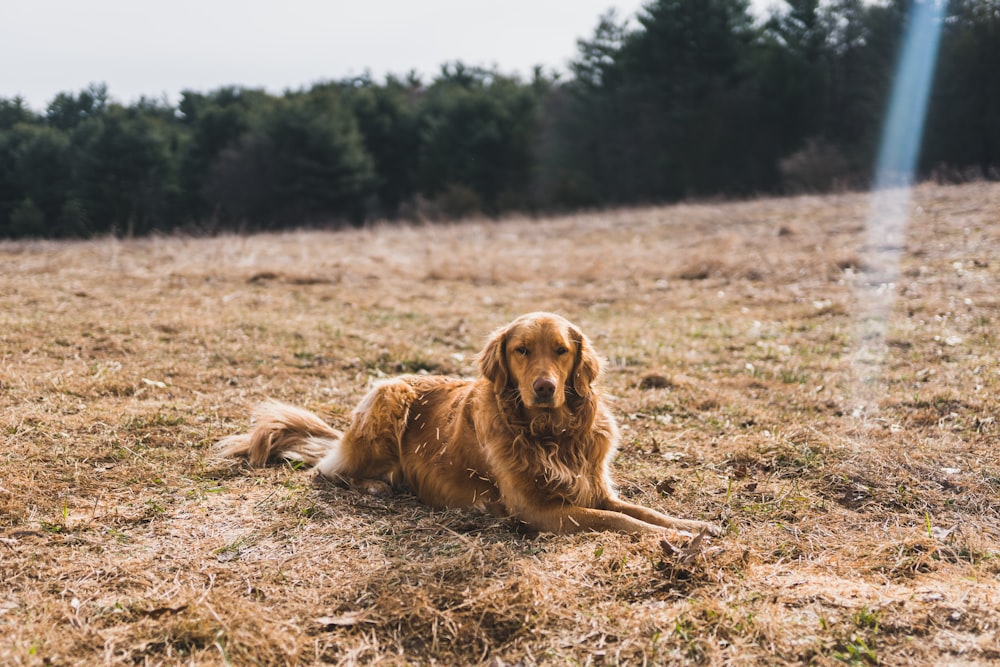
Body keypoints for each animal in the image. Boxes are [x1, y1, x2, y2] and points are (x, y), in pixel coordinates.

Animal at [219, 314, 720, 536]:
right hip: (387, 399)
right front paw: (672, 539)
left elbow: (640, 511)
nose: (543, 388)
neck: (550, 432)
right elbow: (619, 522)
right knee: (326, 472)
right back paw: (376, 486)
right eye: (521, 350)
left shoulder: (594, 487)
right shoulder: (537, 509)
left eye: (561, 350)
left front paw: (694, 525)